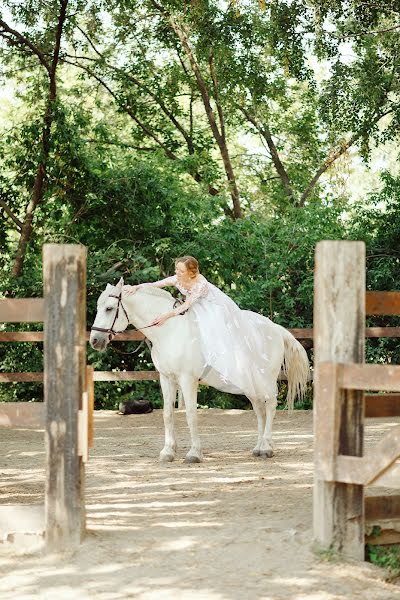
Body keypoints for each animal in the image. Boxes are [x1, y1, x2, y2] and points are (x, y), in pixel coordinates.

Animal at [90, 278, 310, 462]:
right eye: (99, 307)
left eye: (109, 308)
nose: (94, 341)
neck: (169, 330)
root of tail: (274, 328)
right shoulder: (166, 378)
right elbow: (167, 414)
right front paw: (168, 452)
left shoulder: (187, 380)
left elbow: (190, 415)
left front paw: (194, 453)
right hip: (250, 384)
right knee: (259, 411)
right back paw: (259, 447)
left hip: (266, 380)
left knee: (271, 406)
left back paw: (267, 448)